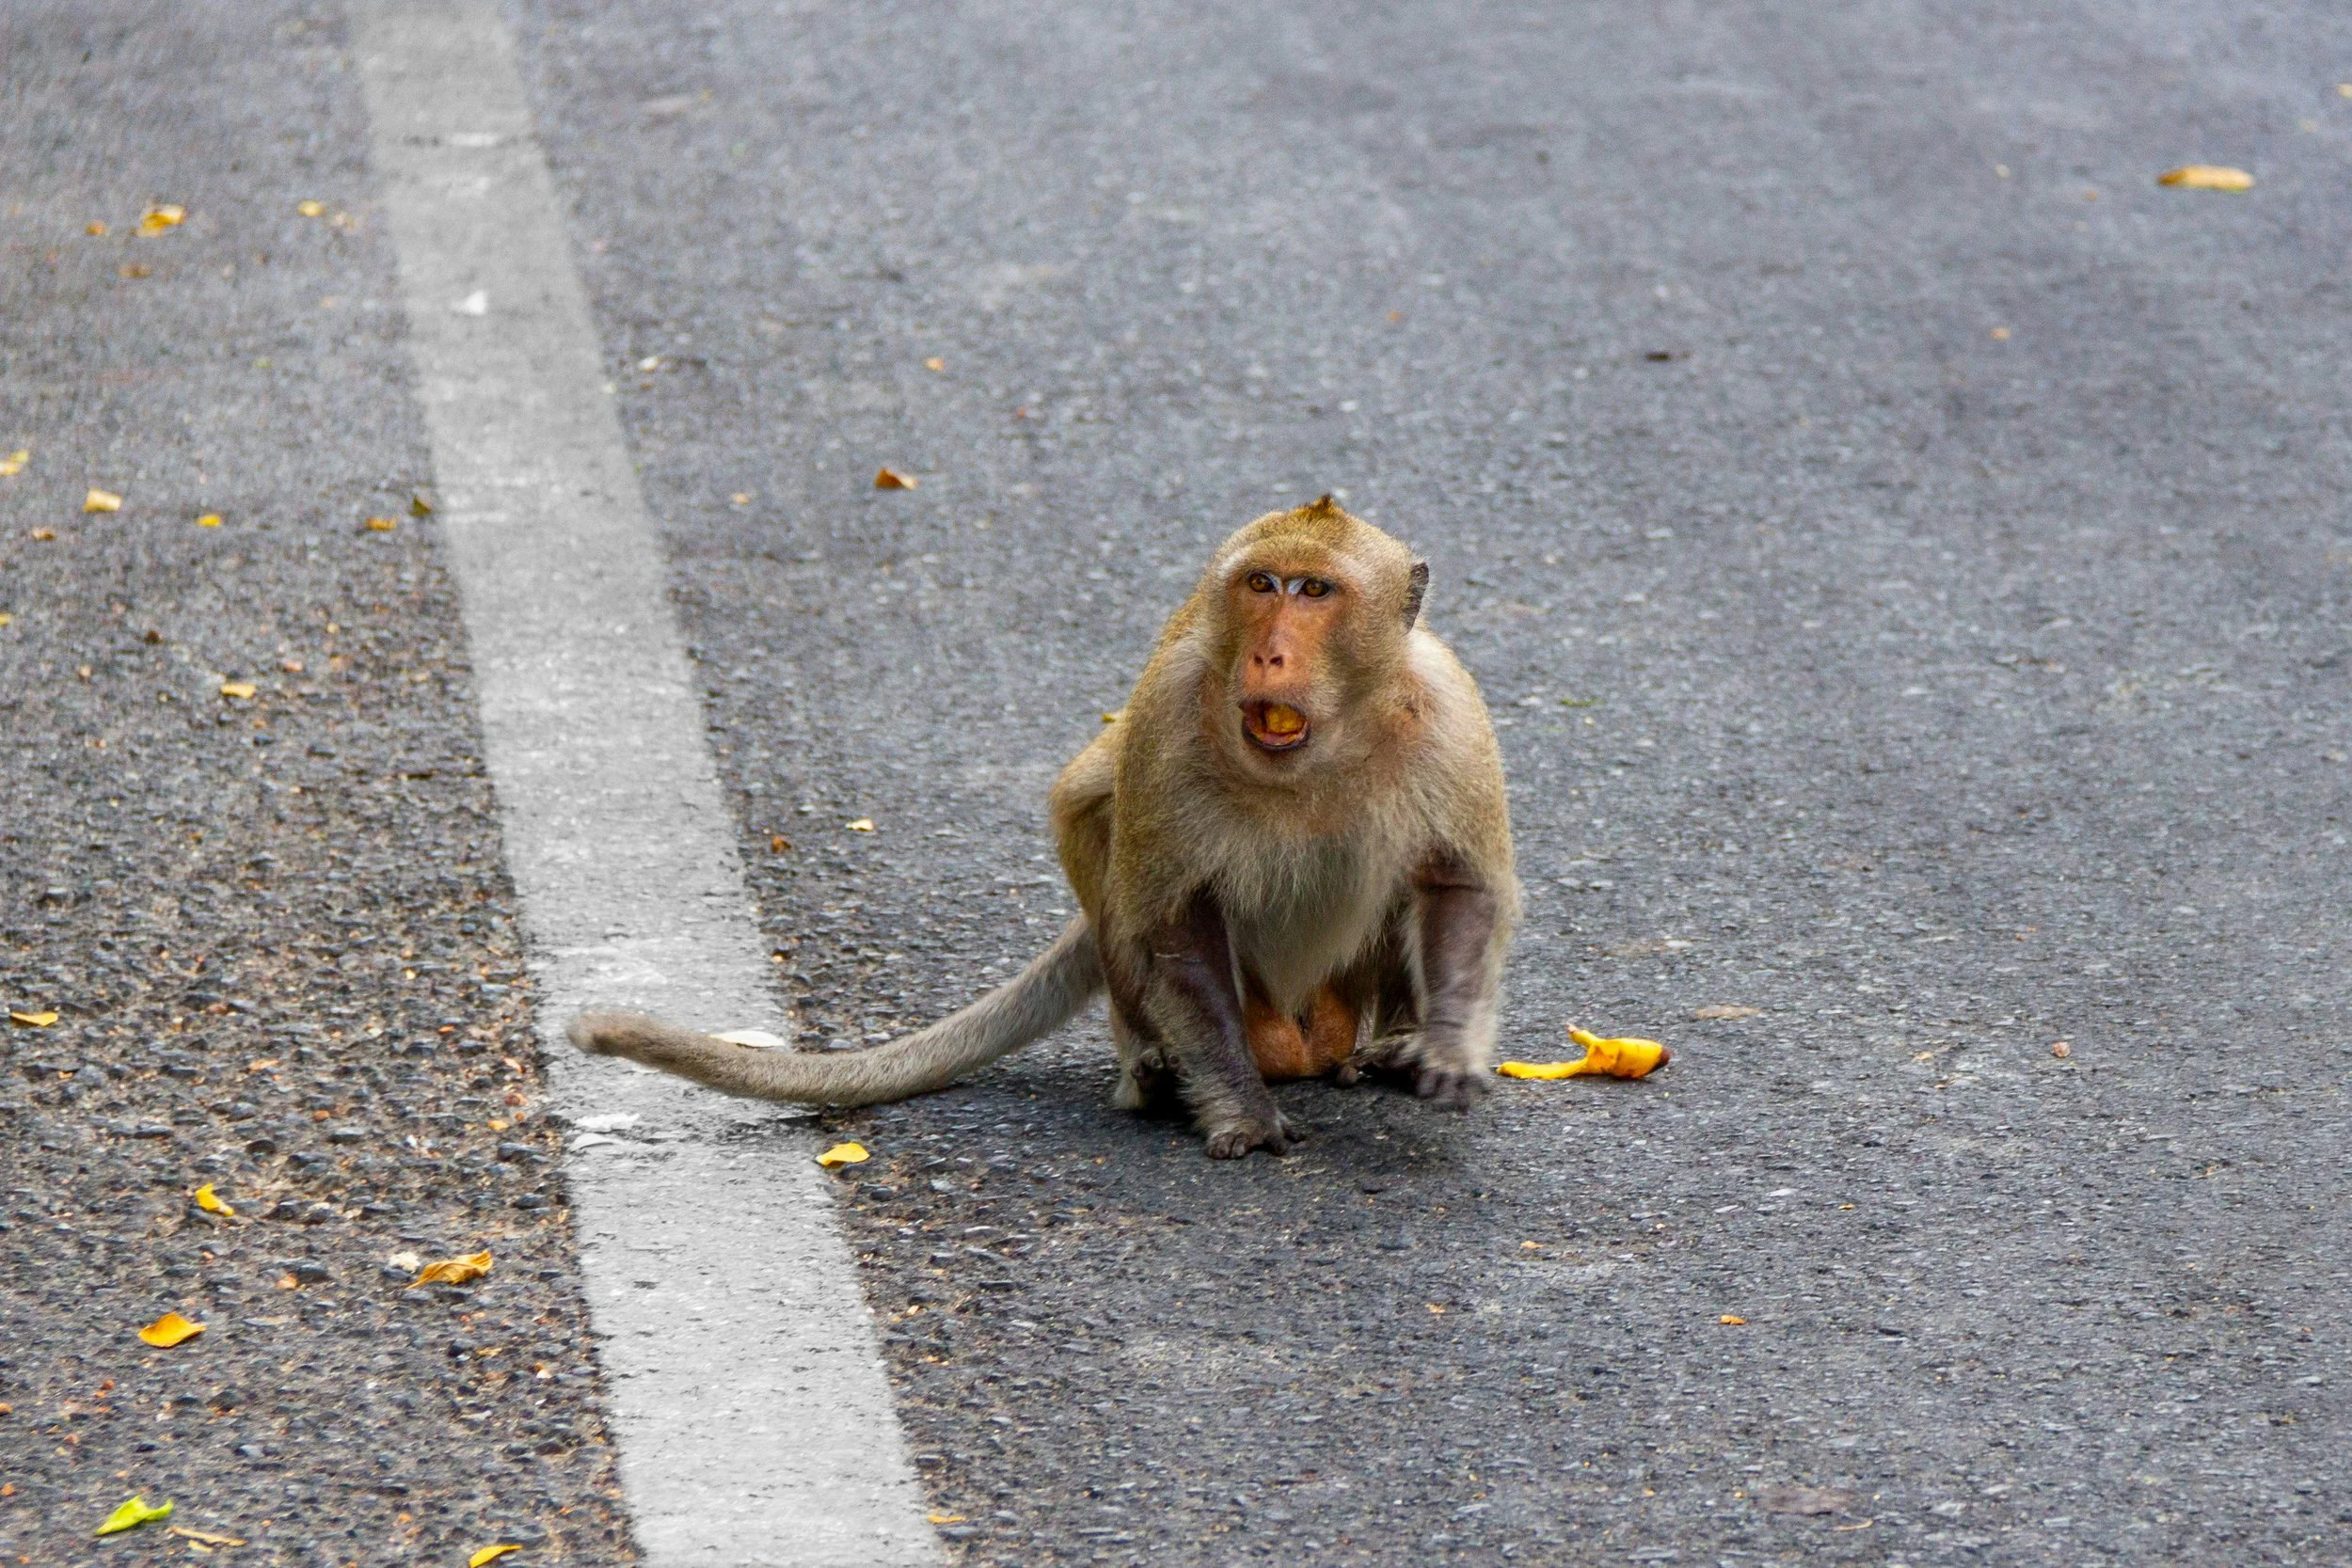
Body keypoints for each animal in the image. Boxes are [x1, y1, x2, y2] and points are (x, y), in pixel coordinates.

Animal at [570, 496, 1517, 1158]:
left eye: (1316, 591)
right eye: (1263, 585)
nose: (1268, 652)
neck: (1315, 756)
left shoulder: (1450, 715)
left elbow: (1460, 884)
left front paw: (1444, 1048)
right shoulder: (1171, 713)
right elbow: (1171, 918)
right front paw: (1241, 1107)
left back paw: (1385, 1047)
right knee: (1104, 839)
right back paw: (1154, 1068)